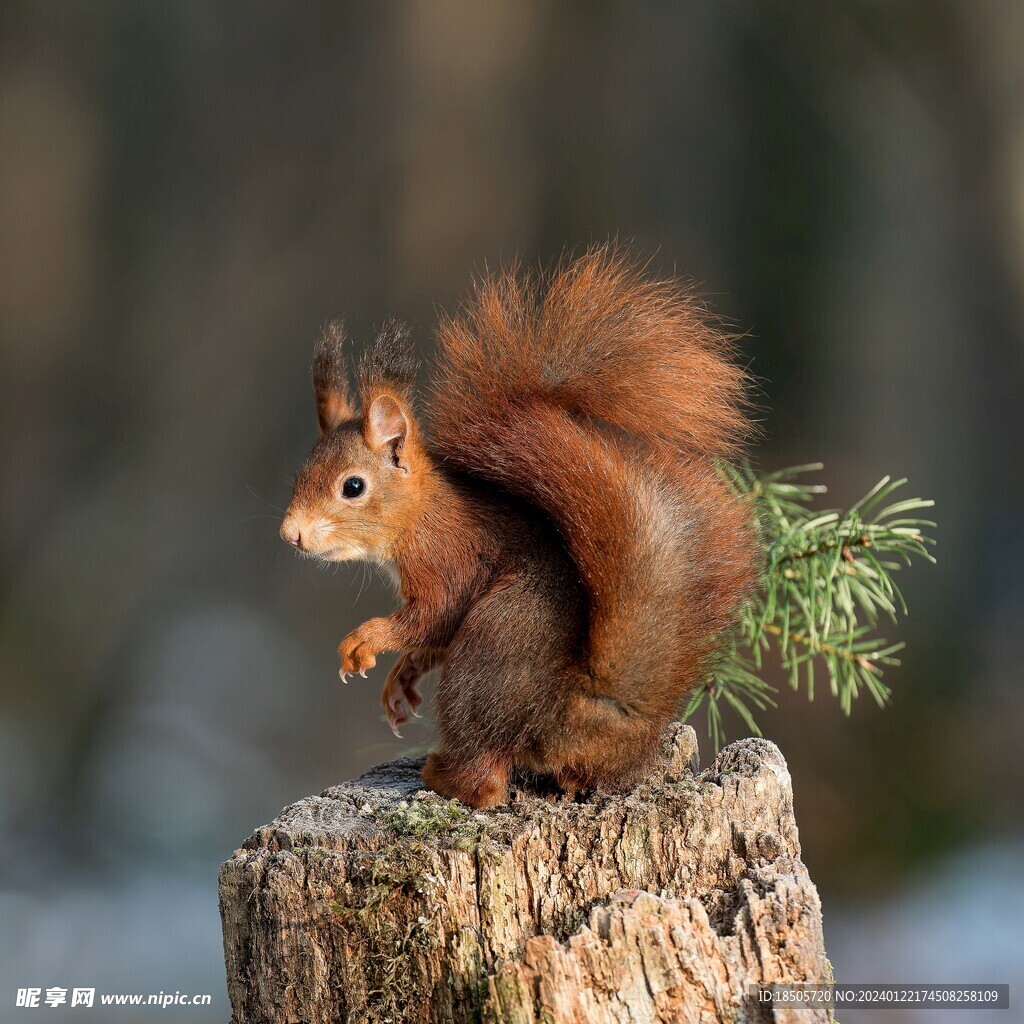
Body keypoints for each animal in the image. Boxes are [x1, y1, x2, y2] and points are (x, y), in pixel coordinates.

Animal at [280, 247, 761, 806]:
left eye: (352, 487)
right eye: (302, 472)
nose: (291, 534)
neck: (420, 516)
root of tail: (574, 718)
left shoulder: (446, 561)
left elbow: (433, 617)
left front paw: (366, 640)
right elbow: (431, 640)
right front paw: (401, 681)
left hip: (487, 650)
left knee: (488, 780)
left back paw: (442, 776)